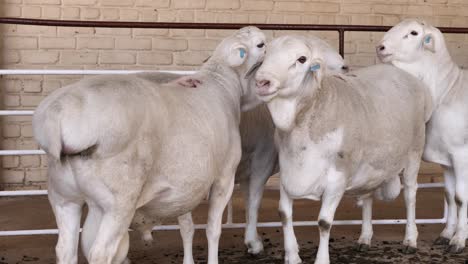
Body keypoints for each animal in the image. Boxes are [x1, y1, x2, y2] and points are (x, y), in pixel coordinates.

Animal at [32, 26, 266, 264]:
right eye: (260, 45)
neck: (223, 83)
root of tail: (58, 115)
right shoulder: (224, 178)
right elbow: (213, 230)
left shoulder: (188, 185)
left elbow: (188, 228)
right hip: (117, 202)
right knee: (100, 252)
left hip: (64, 197)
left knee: (65, 250)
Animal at [256, 35, 432, 264]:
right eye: (265, 53)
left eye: (302, 59)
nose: (262, 81)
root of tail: (405, 75)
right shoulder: (287, 175)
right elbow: (284, 215)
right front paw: (292, 256)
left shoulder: (336, 180)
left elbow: (324, 223)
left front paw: (321, 260)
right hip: (371, 165)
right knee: (368, 195)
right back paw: (365, 238)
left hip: (414, 152)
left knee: (410, 194)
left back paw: (410, 240)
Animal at [378, 18, 466, 254]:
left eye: (414, 33)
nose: (381, 48)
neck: (446, 90)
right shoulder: (446, 159)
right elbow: (450, 195)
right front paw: (446, 234)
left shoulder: (461, 155)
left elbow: (460, 197)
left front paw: (459, 240)